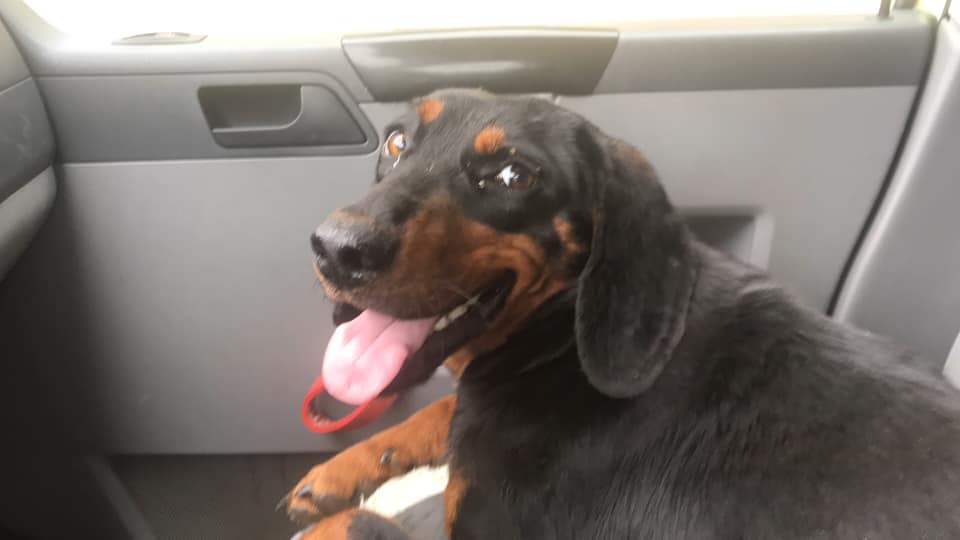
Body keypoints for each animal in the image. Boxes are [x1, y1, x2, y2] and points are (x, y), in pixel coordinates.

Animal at [282, 89, 960, 540]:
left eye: (513, 174)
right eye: (397, 143)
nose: (336, 248)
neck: (562, 335)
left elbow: (361, 523)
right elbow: (439, 414)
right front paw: (353, 464)